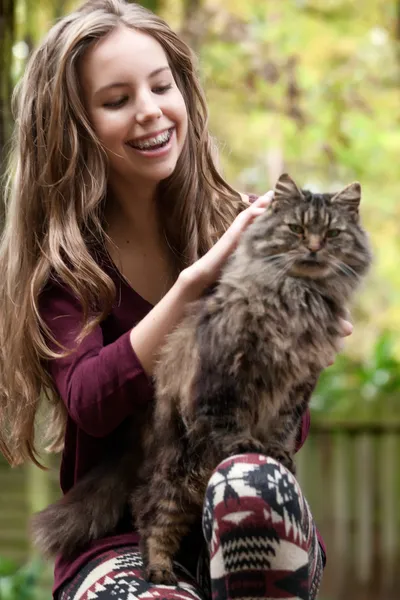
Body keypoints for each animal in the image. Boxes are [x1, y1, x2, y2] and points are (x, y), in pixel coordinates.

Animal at [31, 173, 372, 584]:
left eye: (333, 233)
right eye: (297, 229)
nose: (315, 247)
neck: (297, 296)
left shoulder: (298, 383)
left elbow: (282, 425)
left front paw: (276, 451)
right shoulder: (224, 371)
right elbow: (229, 419)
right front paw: (243, 443)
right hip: (177, 476)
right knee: (150, 515)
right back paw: (160, 569)